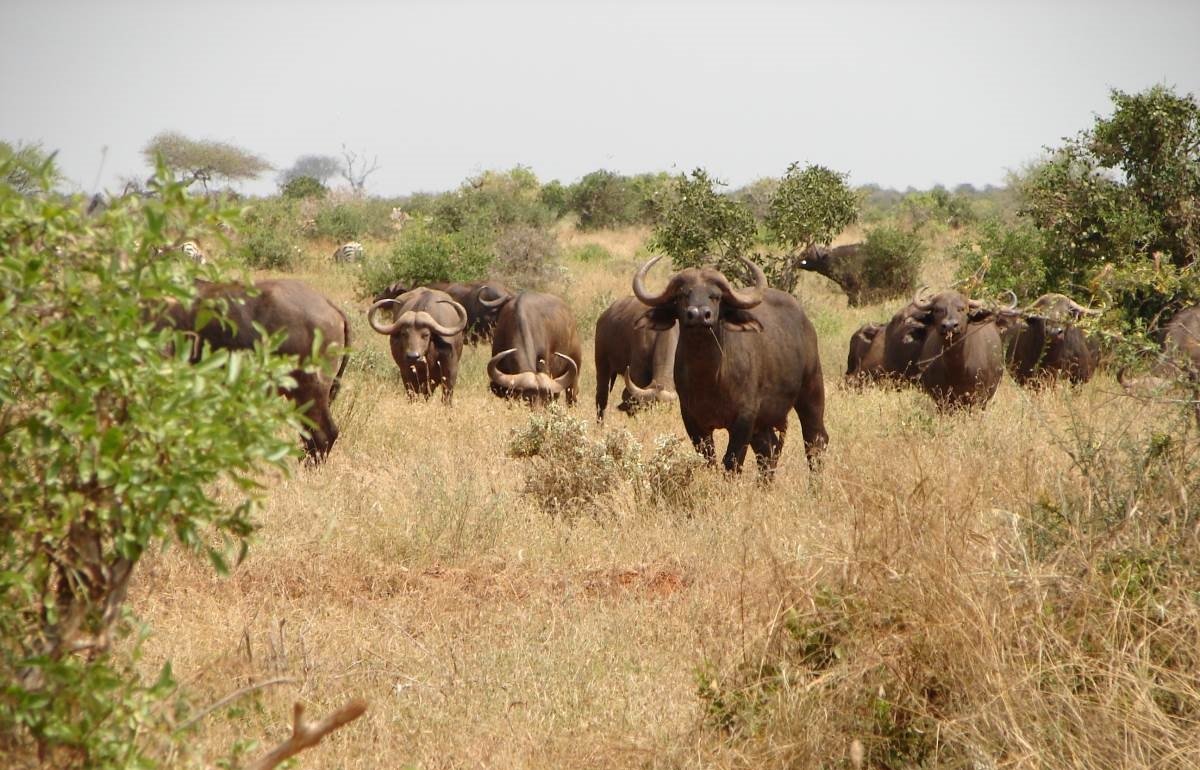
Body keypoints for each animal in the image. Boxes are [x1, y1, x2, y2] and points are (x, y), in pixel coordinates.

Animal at [628, 251, 825, 474]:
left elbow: (732, 461)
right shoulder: (693, 420)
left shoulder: (744, 418)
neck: (709, 378)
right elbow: (709, 459)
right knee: (769, 450)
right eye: (682, 295)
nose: (699, 315)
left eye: (716, 296)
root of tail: (805, 323)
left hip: (812, 391)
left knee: (815, 441)